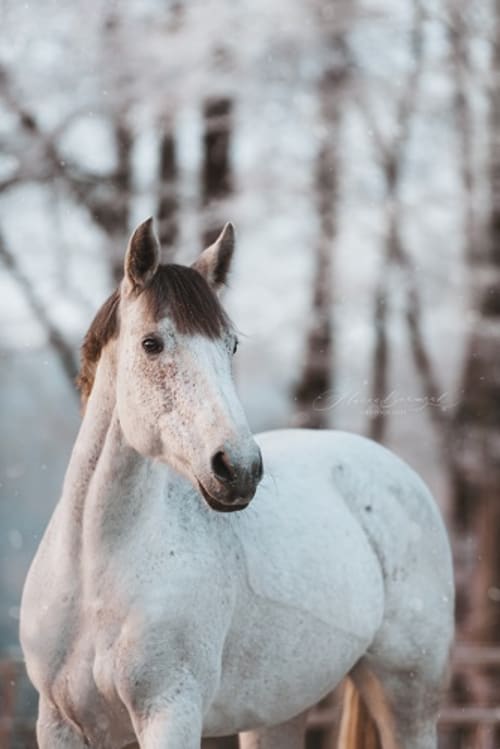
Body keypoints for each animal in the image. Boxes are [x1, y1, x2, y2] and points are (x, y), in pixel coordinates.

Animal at [20, 218, 454, 749]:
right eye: (151, 343)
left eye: (231, 346)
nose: (239, 468)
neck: (95, 572)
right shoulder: (60, 723)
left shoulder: (171, 714)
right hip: (279, 710)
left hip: (408, 696)